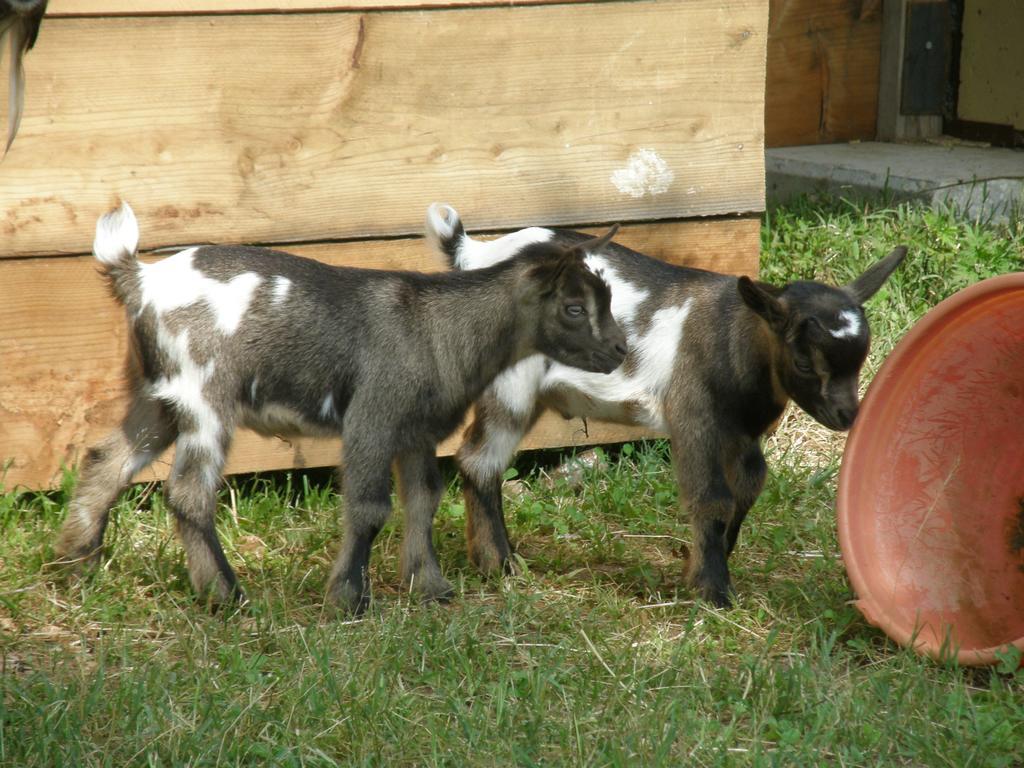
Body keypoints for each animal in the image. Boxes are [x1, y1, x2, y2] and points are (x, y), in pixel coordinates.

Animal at [58, 202, 630, 614]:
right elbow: (370, 506)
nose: (620, 352)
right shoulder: (373, 416)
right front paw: (349, 599)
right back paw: (227, 596)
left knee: (107, 460)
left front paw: (430, 586)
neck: (440, 327)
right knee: (188, 493)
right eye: (574, 308)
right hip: (204, 394)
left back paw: (75, 566)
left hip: (157, 395)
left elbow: (424, 497)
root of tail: (140, 278)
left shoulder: (416, 429)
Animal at [428, 202, 909, 606]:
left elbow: (748, 486)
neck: (734, 335)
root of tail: (474, 253)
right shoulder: (694, 415)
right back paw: (500, 565)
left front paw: (701, 567)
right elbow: (712, 498)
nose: (847, 416)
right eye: (805, 361)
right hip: (510, 386)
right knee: (480, 460)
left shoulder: (738, 430)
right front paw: (714, 592)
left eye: (862, 356)